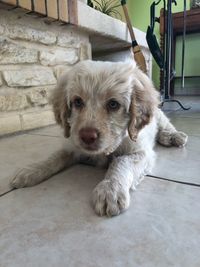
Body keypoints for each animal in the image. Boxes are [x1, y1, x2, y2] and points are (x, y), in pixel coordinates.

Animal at [9, 60, 188, 218]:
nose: (87, 136)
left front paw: (111, 189)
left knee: (165, 124)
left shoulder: (141, 152)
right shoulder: (72, 144)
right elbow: (55, 156)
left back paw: (173, 136)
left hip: (159, 115)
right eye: (77, 101)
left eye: (113, 104)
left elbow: (121, 161)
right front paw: (32, 169)